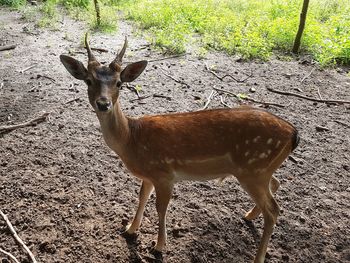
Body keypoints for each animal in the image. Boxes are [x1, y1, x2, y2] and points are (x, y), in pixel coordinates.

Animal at [60, 35, 300, 263]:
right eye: (88, 80)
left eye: (119, 83)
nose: (103, 104)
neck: (131, 140)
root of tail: (293, 133)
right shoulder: (148, 175)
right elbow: (142, 197)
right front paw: (130, 230)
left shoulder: (164, 173)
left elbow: (161, 207)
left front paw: (158, 246)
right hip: (261, 170)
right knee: (276, 184)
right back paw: (249, 215)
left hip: (253, 168)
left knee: (274, 210)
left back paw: (258, 256)